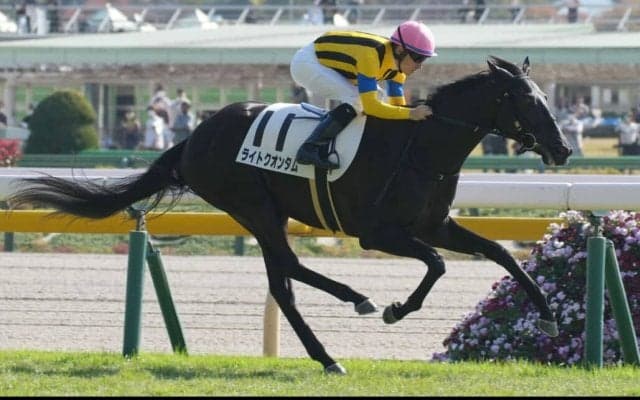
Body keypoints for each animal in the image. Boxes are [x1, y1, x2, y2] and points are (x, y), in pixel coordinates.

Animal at [8, 56, 572, 374]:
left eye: (547, 96)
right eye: (526, 100)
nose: (563, 148)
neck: (420, 147)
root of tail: (194, 138)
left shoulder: (433, 224)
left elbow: (500, 253)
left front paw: (546, 314)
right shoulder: (376, 233)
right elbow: (436, 264)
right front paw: (396, 308)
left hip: (264, 213)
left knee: (282, 280)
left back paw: (330, 348)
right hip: (253, 205)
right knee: (288, 272)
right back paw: (354, 306)